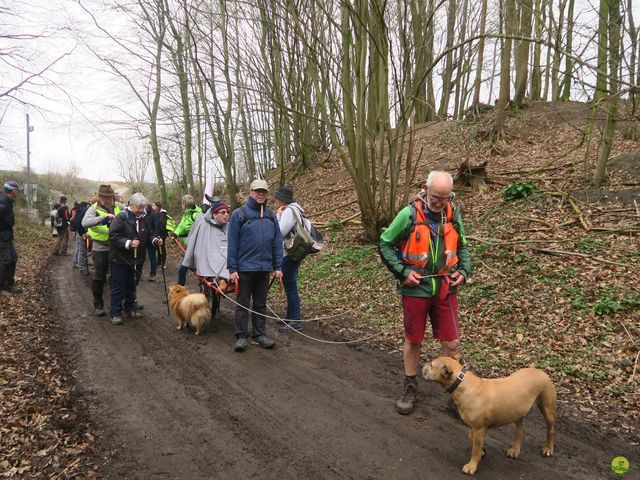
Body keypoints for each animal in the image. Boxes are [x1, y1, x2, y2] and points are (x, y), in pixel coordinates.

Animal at [422, 356, 552, 476]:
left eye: (432, 365)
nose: (423, 365)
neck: (461, 383)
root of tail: (540, 371)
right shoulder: (475, 427)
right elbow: (471, 437)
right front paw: (482, 451)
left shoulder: (479, 428)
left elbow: (475, 449)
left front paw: (472, 465)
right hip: (517, 411)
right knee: (519, 430)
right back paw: (515, 450)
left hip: (547, 408)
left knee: (550, 430)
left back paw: (548, 449)